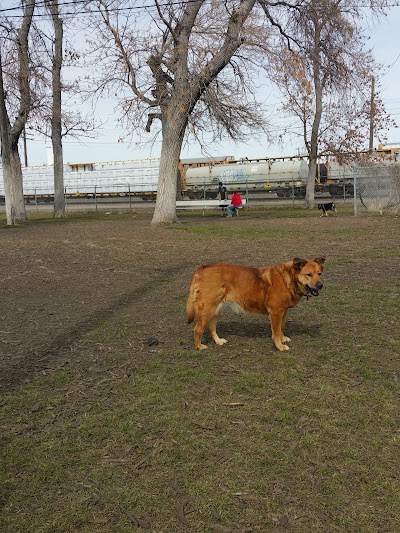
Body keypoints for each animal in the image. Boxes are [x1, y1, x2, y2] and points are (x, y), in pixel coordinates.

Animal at [188, 256, 324, 352]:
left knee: (211, 327)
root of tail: (202, 268)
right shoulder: (275, 313)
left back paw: (218, 341)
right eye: (309, 274)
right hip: (207, 309)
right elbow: (276, 332)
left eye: (319, 274)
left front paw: (283, 339)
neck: (289, 279)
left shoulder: (283, 311)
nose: (320, 285)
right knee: (198, 329)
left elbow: (281, 327)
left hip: (216, 309)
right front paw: (279, 346)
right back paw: (199, 346)